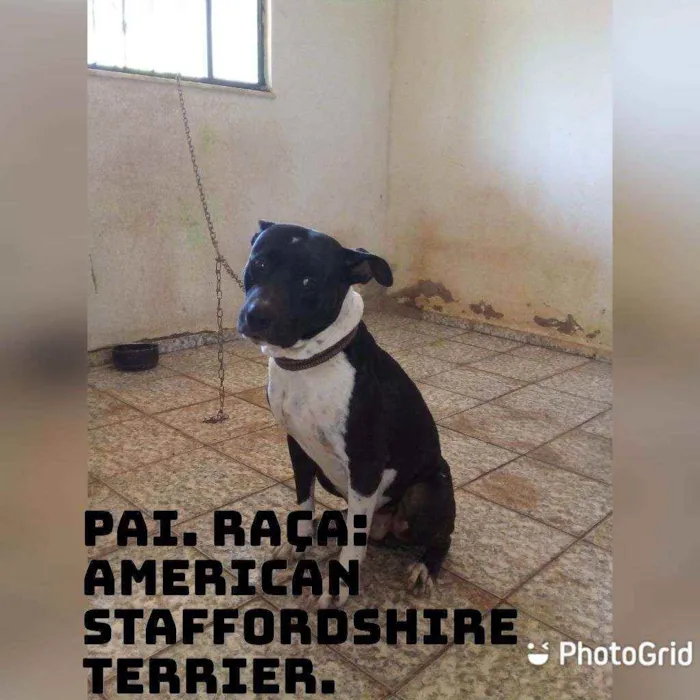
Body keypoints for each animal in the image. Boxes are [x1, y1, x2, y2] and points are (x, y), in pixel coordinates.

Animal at [237, 221, 456, 608]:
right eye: (259, 263)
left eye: (308, 281)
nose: (256, 315)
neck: (311, 362)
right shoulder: (298, 447)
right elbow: (304, 503)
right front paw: (298, 546)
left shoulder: (366, 463)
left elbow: (354, 544)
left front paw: (338, 586)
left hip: (425, 492)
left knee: (440, 538)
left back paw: (424, 568)